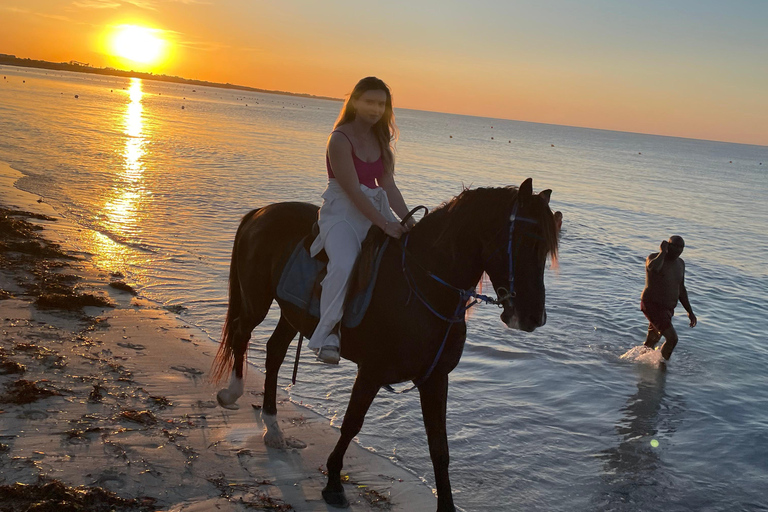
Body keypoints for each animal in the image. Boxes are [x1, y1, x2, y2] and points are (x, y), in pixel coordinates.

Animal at [212, 177, 559, 511]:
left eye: (546, 249)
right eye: (525, 242)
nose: (534, 317)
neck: (424, 285)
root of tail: (260, 212)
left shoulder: (435, 379)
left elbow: (440, 448)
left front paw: (446, 504)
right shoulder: (371, 371)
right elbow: (351, 424)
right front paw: (334, 483)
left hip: (292, 314)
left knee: (274, 353)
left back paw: (273, 428)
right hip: (257, 300)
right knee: (242, 334)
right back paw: (232, 393)